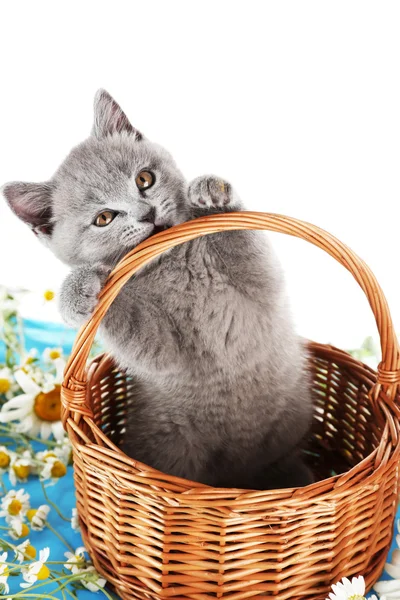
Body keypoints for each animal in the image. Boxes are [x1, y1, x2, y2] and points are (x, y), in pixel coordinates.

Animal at [2, 90, 312, 492]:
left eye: (144, 179)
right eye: (104, 218)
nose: (146, 213)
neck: (174, 264)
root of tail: (234, 478)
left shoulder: (261, 286)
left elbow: (242, 238)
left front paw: (213, 192)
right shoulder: (165, 350)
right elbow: (129, 324)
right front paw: (77, 291)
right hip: (172, 444)